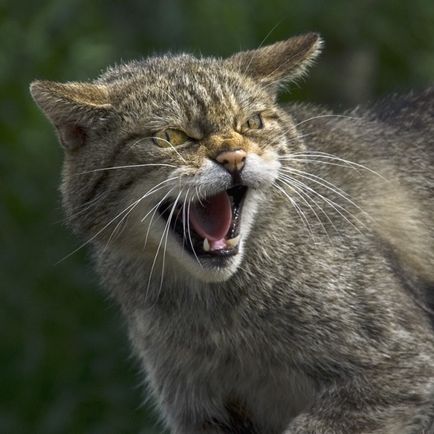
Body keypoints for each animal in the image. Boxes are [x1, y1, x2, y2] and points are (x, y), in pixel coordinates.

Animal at [30, 34, 434, 434]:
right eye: (171, 136)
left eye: (252, 121)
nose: (234, 157)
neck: (212, 312)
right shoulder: (199, 410)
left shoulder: (399, 363)